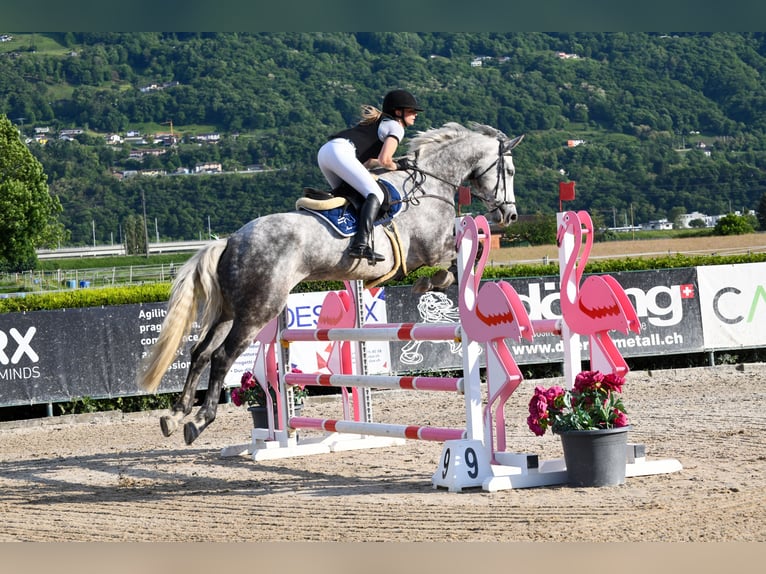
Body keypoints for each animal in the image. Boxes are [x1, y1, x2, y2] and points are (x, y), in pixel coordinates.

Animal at [137, 122, 524, 445]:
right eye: (508, 170)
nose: (510, 215)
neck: (430, 184)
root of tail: (231, 241)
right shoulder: (430, 249)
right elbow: (459, 261)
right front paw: (435, 282)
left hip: (232, 310)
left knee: (200, 353)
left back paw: (175, 415)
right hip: (259, 310)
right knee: (221, 356)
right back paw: (199, 420)